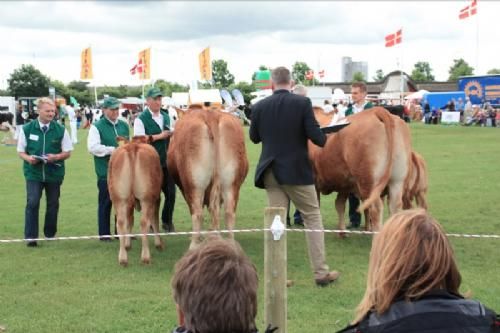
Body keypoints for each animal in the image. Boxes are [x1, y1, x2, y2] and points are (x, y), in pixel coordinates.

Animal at [108, 136, 163, 266]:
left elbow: (130, 221)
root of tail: (132, 146)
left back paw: (123, 258)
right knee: (145, 222)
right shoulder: (157, 198)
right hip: (147, 198)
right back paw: (145, 257)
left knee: (121, 223)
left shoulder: (129, 201)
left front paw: (128, 244)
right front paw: (158, 243)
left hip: (119, 198)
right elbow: (155, 220)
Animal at [168, 105, 248, 248]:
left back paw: (194, 244)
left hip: (194, 184)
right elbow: (214, 210)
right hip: (231, 183)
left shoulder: (185, 189)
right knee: (229, 212)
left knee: (197, 213)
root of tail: (211, 115)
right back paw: (230, 243)